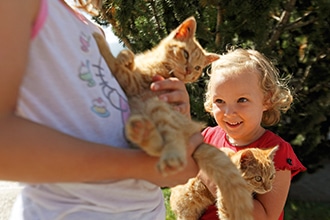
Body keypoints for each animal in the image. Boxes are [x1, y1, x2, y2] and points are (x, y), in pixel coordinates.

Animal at [94, 16, 254, 219]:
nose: (188, 71)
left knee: (167, 141)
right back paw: (140, 131)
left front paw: (99, 41)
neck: (159, 64)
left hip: (158, 107)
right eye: (185, 54)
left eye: (197, 67)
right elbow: (127, 58)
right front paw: (124, 56)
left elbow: (115, 67)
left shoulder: (133, 83)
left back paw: (165, 151)